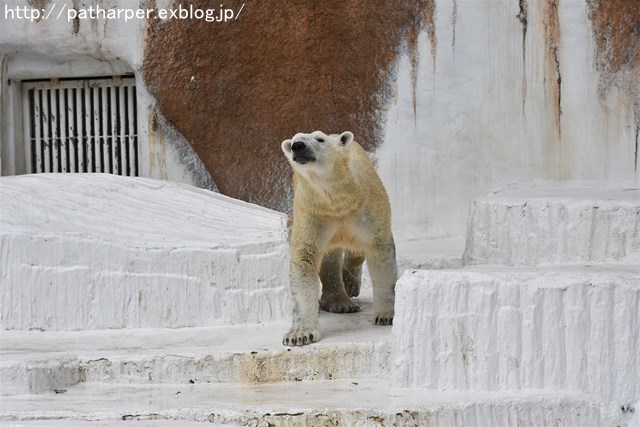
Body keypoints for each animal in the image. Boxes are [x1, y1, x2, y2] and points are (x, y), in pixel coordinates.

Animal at [280, 131, 396, 348]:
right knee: (329, 257)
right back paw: (340, 303)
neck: (337, 201)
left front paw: (386, 315)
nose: (298, 146)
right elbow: (304, 261)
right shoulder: (313, 214)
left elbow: (380, 252)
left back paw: (350, 287)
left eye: (320, 139)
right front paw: (300, 334)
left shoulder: (368, 209)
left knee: (356, 251)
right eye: (293, 142)